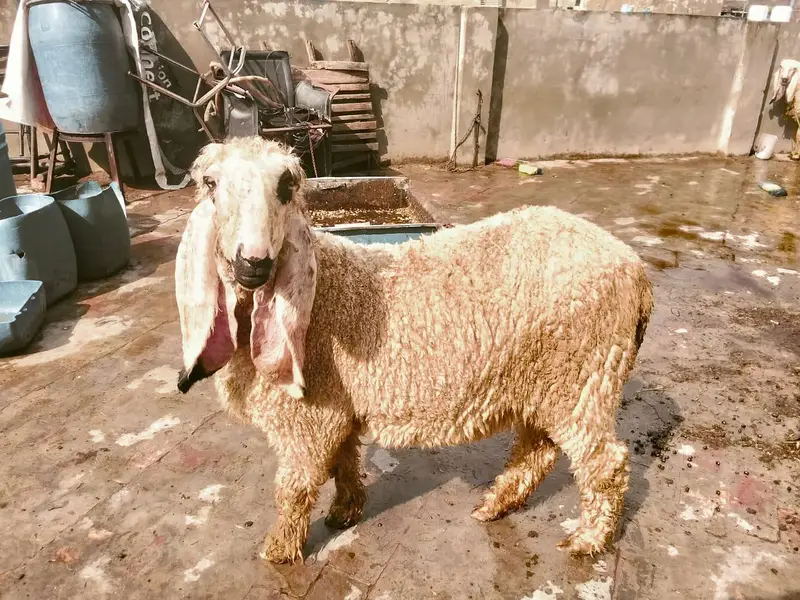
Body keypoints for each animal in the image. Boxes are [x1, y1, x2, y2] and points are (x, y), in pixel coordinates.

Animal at [174, 136, 655, 564]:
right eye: (210, 184)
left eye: (287, 185)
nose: (253, 263)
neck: (327, 287)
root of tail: (635, 268)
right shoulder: (338, 406)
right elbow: (343, 460)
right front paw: (345, 511)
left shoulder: (309, 416)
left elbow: (296, 486)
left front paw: (278, 550)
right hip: (549, 379)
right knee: (537, 448)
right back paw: (495, 505)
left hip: (585, 373)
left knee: (605, 463)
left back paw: (587, 540)